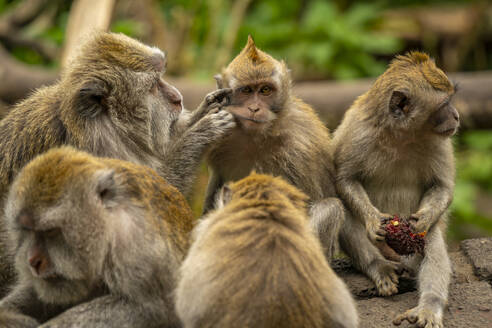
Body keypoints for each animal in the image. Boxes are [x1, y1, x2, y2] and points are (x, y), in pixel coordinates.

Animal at [0, 31, 236, 294]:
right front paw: (199, 135)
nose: (177, 98)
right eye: (154, 86)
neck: (101, 129)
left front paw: (204, 110)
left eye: (162, 77)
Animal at [0, 147, 195, 328]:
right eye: (27, 230)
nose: (33, 261)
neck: (108, 230)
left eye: (50, 231)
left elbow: (151, 310)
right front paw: (8, 316)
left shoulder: (138, 244)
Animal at [204, 36, 342, 260]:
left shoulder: (300, 145)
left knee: (330, 208)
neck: (258, 136)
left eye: (265, 90)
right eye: (247, 90)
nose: (254, 108)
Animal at [332, 52, 460, 328]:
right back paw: (379, 268)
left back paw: (429, 306)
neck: (402, 134)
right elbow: (345, 179)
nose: (456, 116)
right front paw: (373, 220)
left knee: (431, 240)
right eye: (444, 103)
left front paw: (423, 219)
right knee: (342, 211)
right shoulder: (357, 132)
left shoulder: (441, 140)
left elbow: (442, 187)